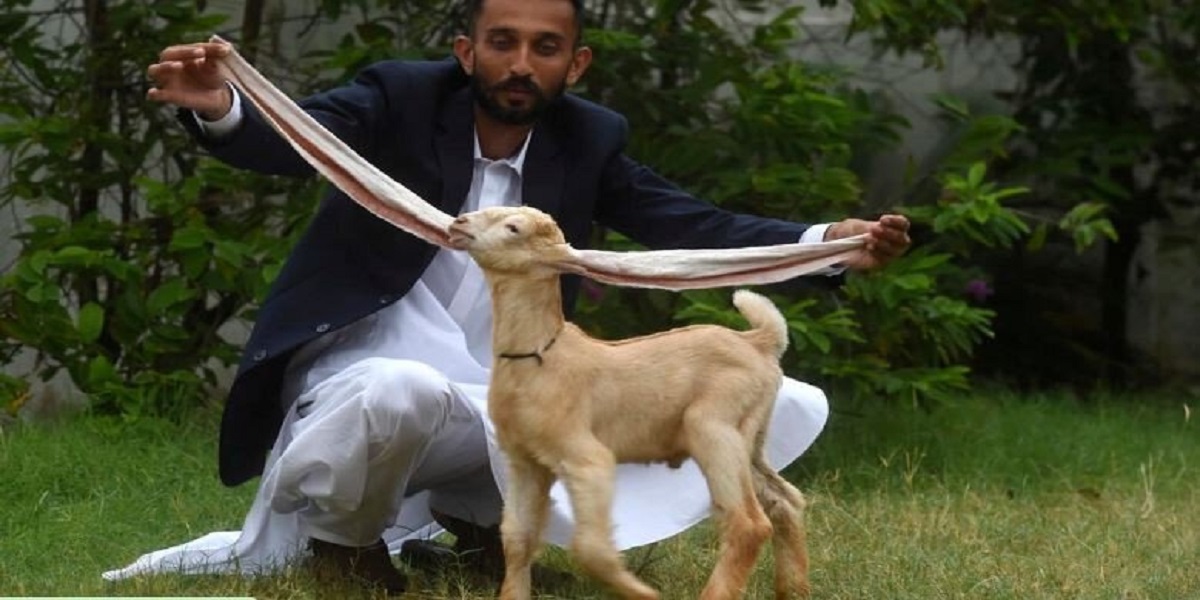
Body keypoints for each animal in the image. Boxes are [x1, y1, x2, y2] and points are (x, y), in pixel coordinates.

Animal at [448, 206, 810, 600]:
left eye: (513, 228)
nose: (459, 223)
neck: (541, 354)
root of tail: (758, 341)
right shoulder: (526, 463)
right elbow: (517, 538)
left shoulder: (587, 459)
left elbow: (590, 548)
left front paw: (644, 593)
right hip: (750, 437)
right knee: (785, 502)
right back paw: (794, 589)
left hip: (714, 428)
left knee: (748, 523)